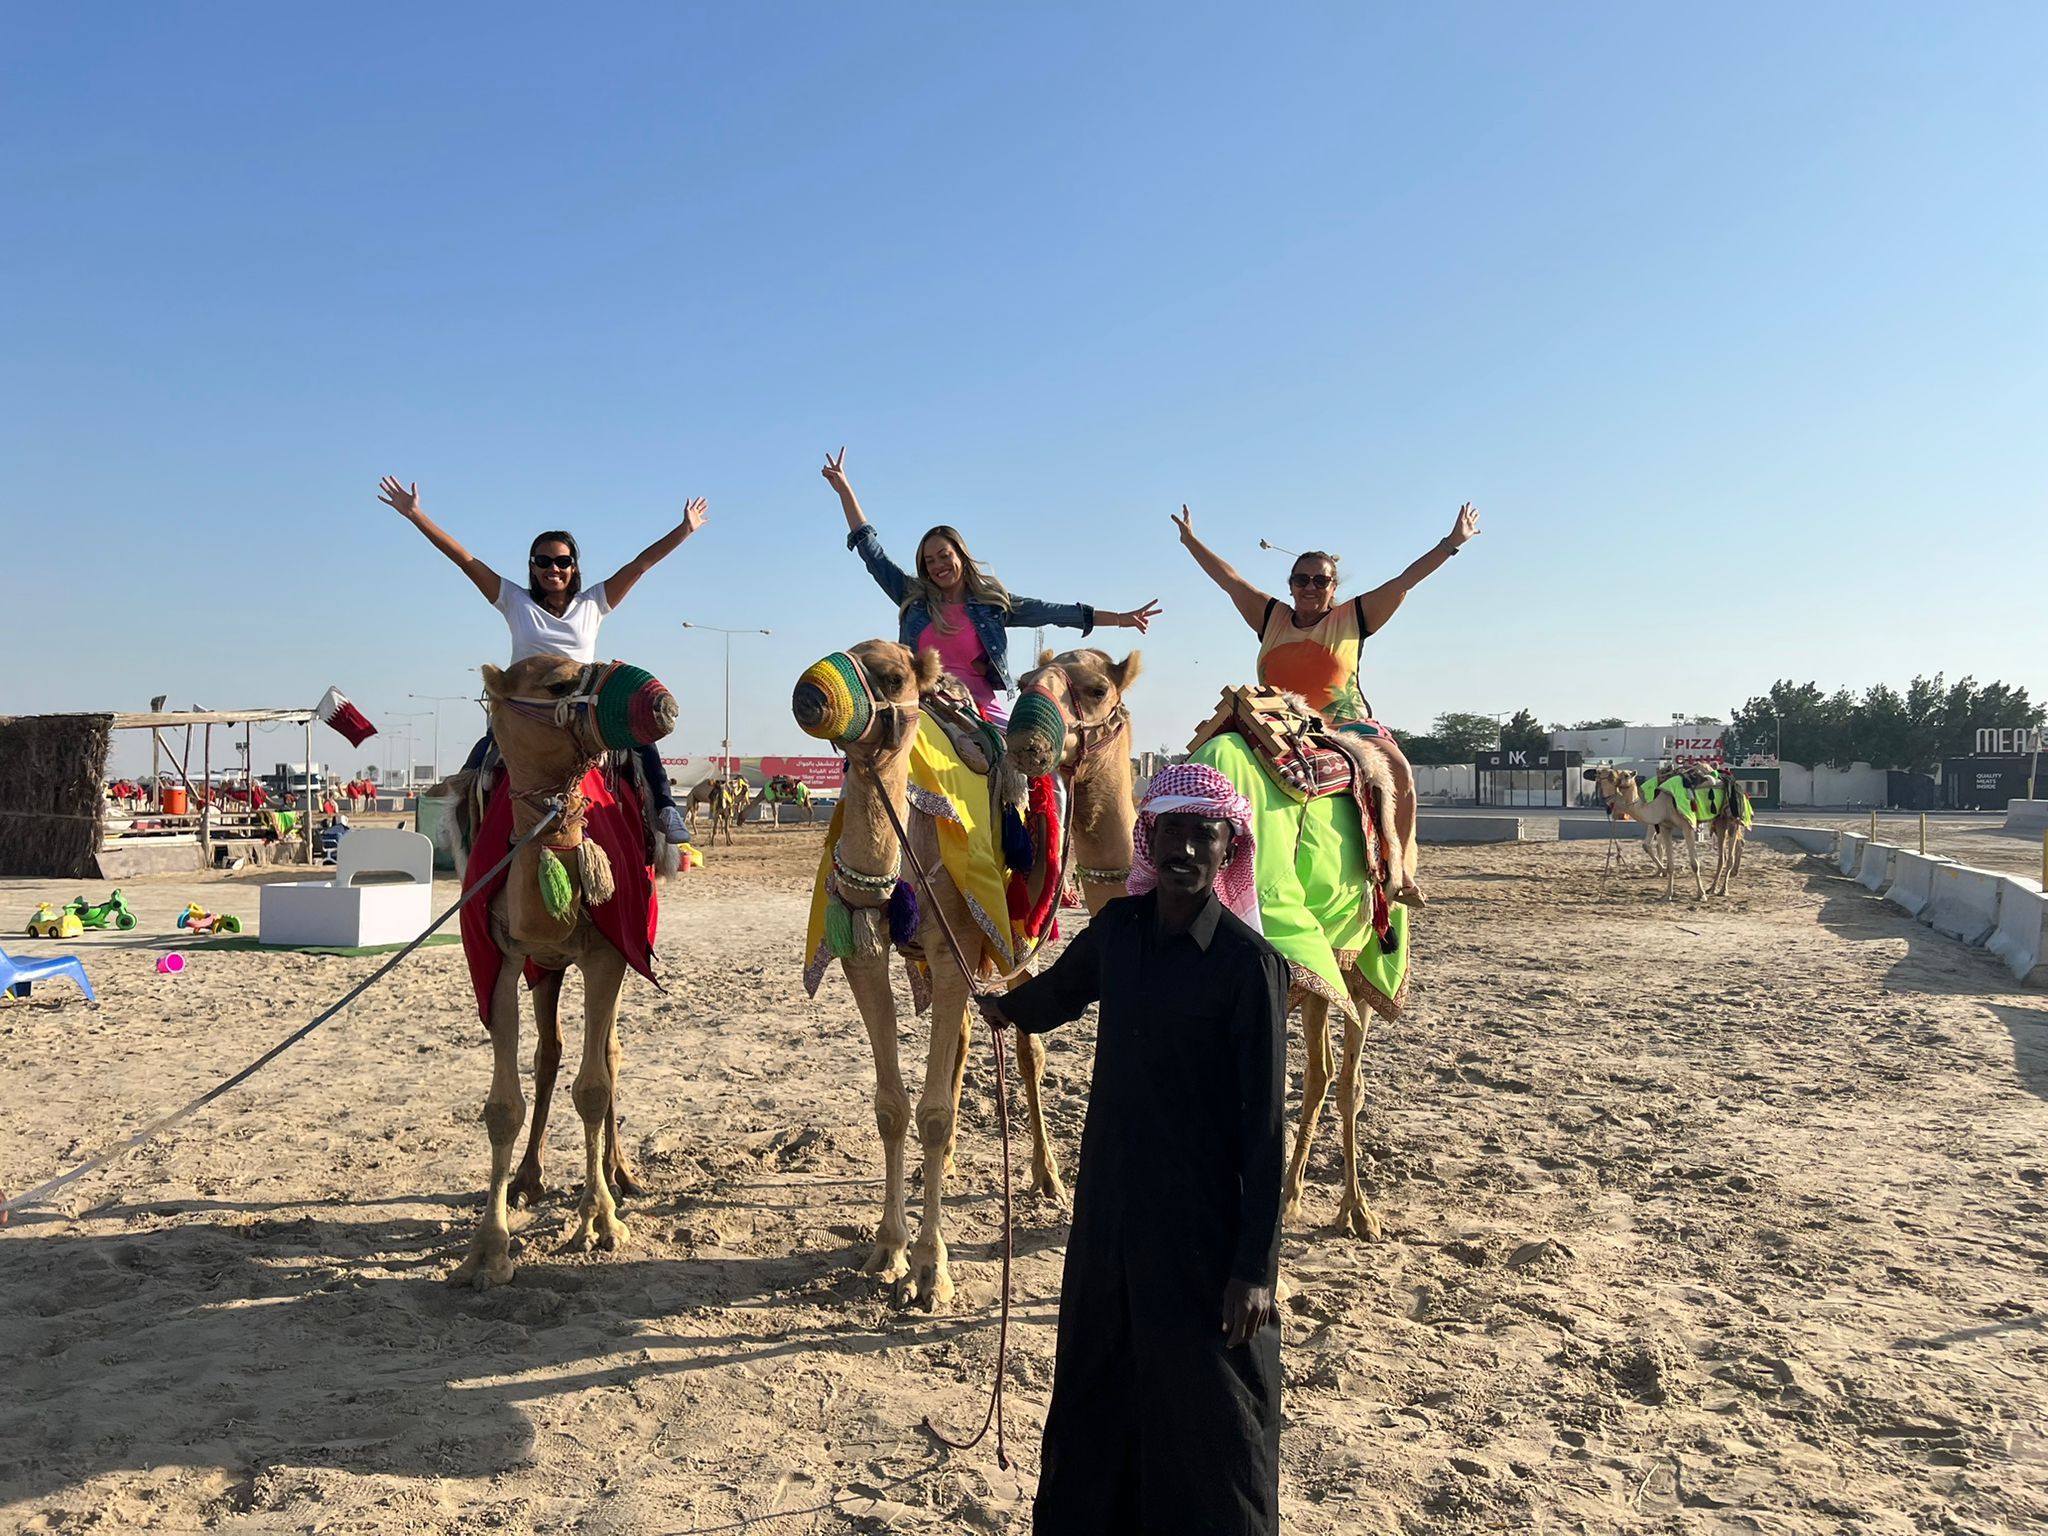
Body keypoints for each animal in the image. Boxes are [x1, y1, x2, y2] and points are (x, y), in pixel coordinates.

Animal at [450, 654, 676, 1290]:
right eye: (555, 684)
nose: (661, 702)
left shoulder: (606, 954)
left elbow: (594, 1087)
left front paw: (599, 1220)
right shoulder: (500, 958)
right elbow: (503, 1106)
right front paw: (488, 1250)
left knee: (610, 1054)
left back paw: (622, 1176)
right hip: (544, 967)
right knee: (547, 1052)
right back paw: (527, 1178)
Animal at [792, 640, 1017, 1311]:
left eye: (892, 677)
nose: (810, 693)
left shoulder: (953, 947)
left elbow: (935, 1114)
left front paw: (931, 1271)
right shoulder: (861, 953)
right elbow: (891, 1107)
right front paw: (887, 1252)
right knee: (964, 1039)